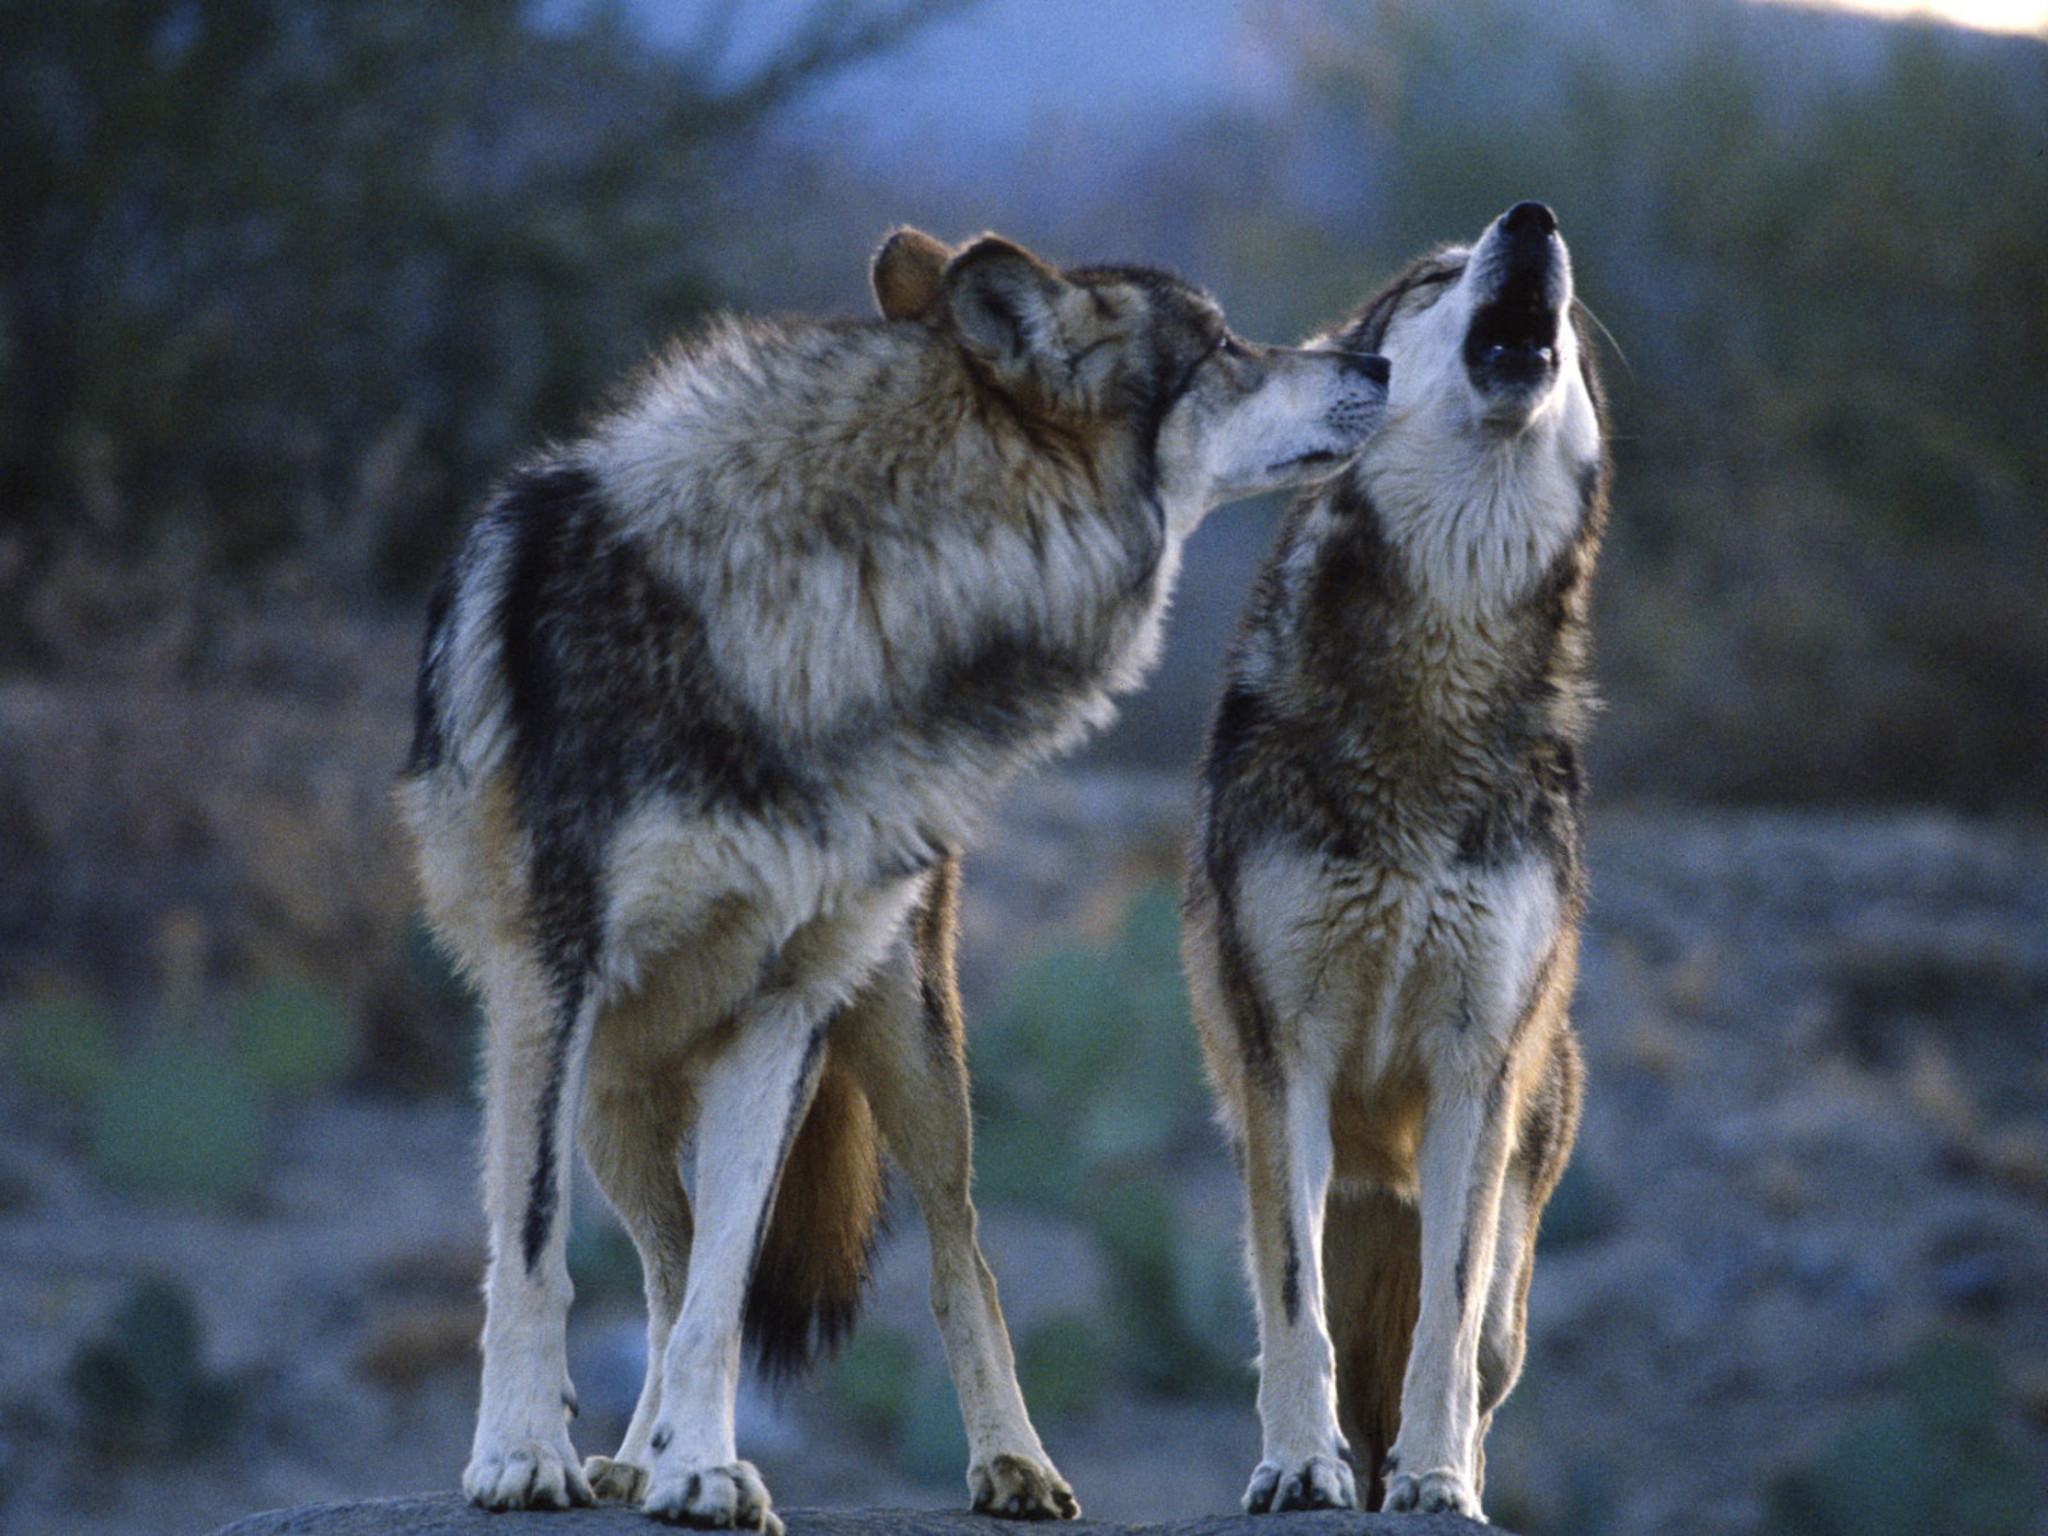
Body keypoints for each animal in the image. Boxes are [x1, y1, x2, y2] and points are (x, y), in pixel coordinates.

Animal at [398, 226, 1388, 1530]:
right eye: (1223, 348)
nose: (1376, 361)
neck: (851, 597)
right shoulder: (546, 986)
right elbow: (535, 1252)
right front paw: (523, 1454)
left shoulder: (778, 1011)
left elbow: (725, 1291)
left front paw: (703, 1467)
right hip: (611, 1086)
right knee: (656, 1260)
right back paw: (624, 1456)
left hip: (904, 1045)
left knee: (950, 1254)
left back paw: (1006, 1464)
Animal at [1183, 201, 1607, 1520]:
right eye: (1430, 279)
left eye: (1573, 314)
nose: (1533, 219)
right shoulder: (1284, 1053)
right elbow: (1291, 1306)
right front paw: (1296, 1465)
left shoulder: (1478, 1064)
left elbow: (1446, 1315)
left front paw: (1435, 1482)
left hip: (1519, 1204)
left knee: (1478, 1347)